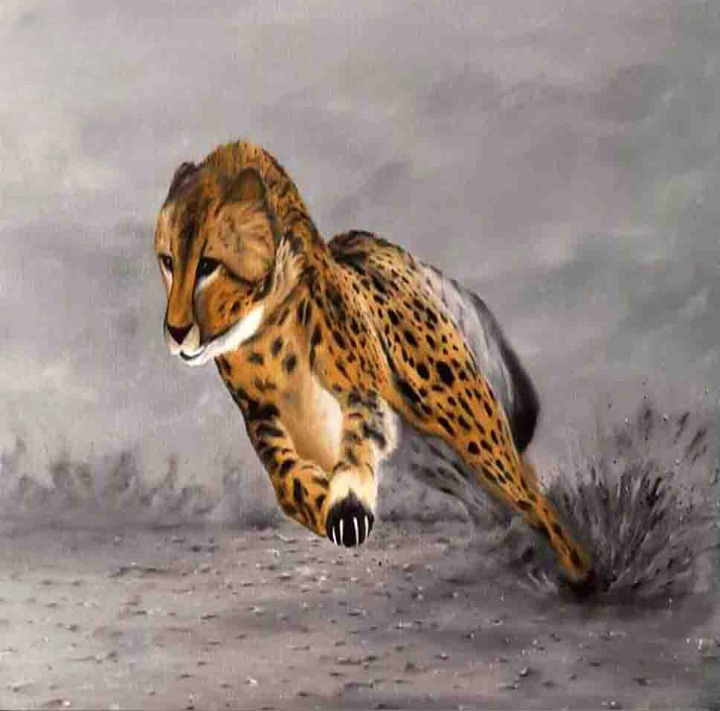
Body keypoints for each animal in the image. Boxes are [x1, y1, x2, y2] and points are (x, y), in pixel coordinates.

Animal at [154, 139, 595, 591]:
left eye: (208, 265)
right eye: (168, 261)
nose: (176, 331)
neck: (265, 321)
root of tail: (377, 244)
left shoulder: (361, 395)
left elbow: (356, 441)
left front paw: (347, 502)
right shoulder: (264, 421)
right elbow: (288, 483)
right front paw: (327, 504)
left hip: (470, 430)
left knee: (529, 495)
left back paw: (582, 571)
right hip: (431, 455)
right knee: (494, 503)